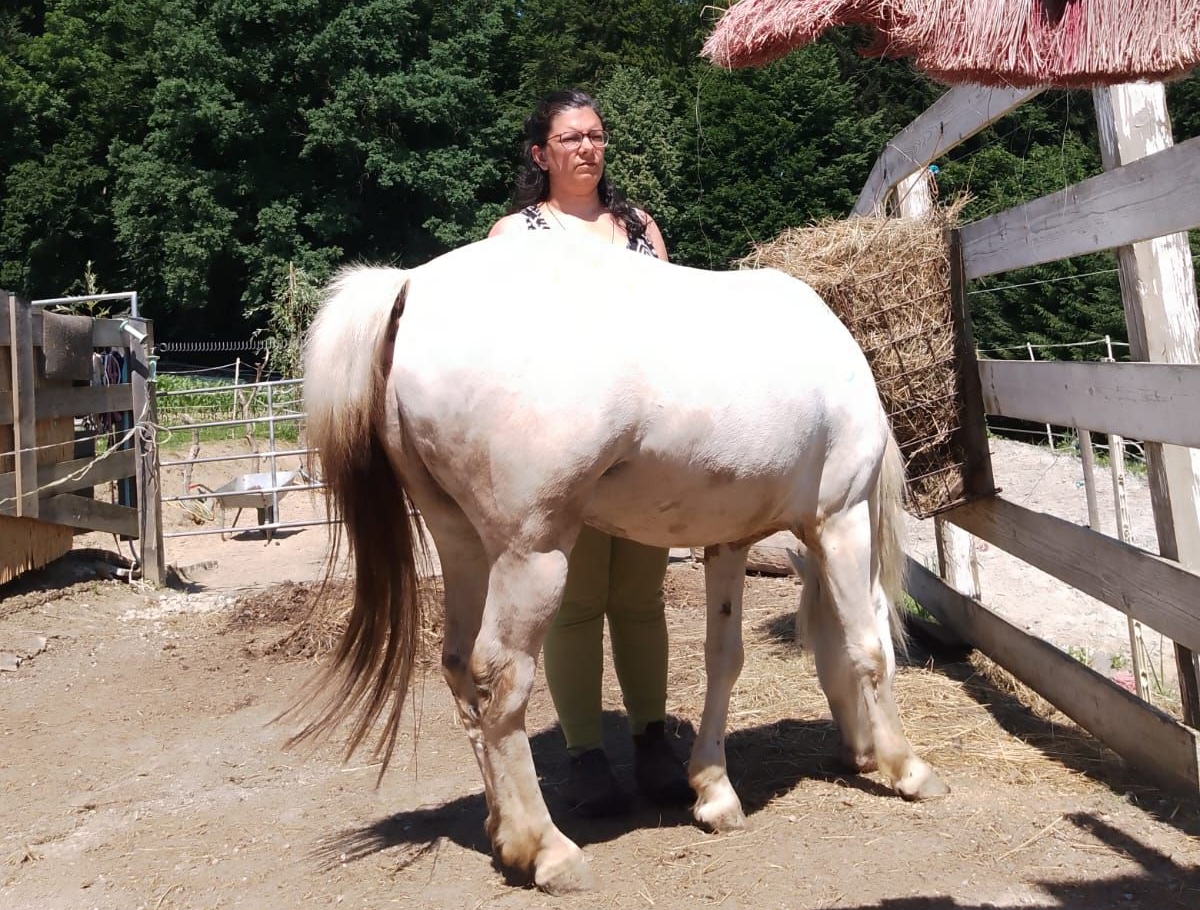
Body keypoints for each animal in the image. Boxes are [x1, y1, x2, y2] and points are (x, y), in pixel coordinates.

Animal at [297, 232, 948, 893]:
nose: (858, 754)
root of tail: (411, 285)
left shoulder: (729, 542)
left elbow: (724, 658)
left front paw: (713, 791)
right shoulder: (841, 520)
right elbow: (866, 647)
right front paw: (909, 768)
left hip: (464, 547)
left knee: (459, 669)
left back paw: (502, 833)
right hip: (532, 556)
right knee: (498, 678)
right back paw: (547, 850)